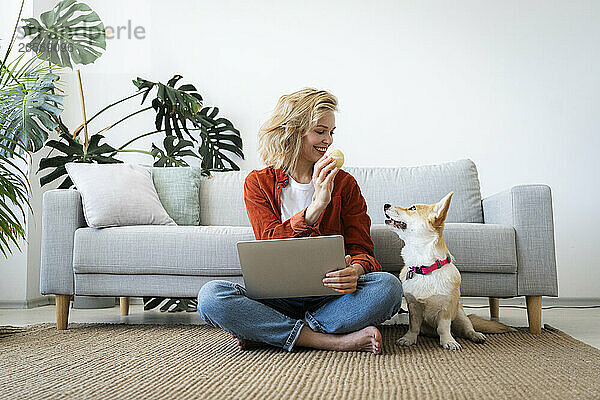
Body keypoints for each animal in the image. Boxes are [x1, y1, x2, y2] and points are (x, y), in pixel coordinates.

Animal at [384, 192, 510, 348]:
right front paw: (408, 339)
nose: (385, 205)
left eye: (412, 208)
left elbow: (443, 327)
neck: (425, 268)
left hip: (460, 314)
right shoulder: (413, 306)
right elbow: (414, 326)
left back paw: (475, 335)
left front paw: (448, 342)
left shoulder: (446, 308)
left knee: (467, 328)